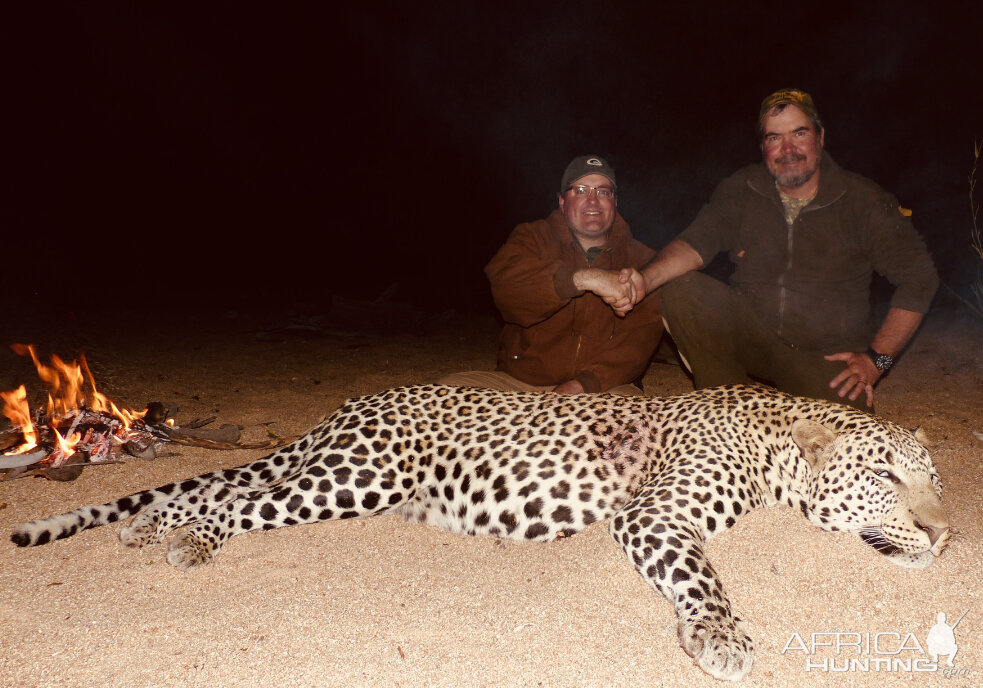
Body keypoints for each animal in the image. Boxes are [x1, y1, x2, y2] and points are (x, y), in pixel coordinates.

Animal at [7, 384, 948, 680]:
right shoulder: (655, 515)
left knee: (235, 486)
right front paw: (718, 637)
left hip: (342, 480)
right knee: (240, 501)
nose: (944, 536)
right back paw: (182, 538)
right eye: (885, 477)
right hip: (358, 477)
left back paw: (150, 527)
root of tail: (353, 403)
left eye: (935, 478)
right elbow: (701, 576)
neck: (775, 439)